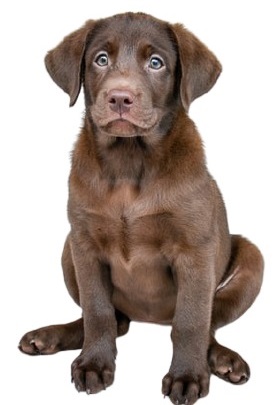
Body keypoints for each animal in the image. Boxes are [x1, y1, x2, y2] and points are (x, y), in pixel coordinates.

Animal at [19, 12, 264, 404]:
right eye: (101, 59)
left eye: (156, 63)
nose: (120, 97)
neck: (129, 161)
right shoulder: (85, 244)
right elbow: (97, 311)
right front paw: (93, 364)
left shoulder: (194, 251)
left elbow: (191, 321)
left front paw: (187, 376)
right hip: (67, 248)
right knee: (115, 320)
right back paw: (49, 336)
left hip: (253, 258)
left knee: (206, 323)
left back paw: (223, 360)